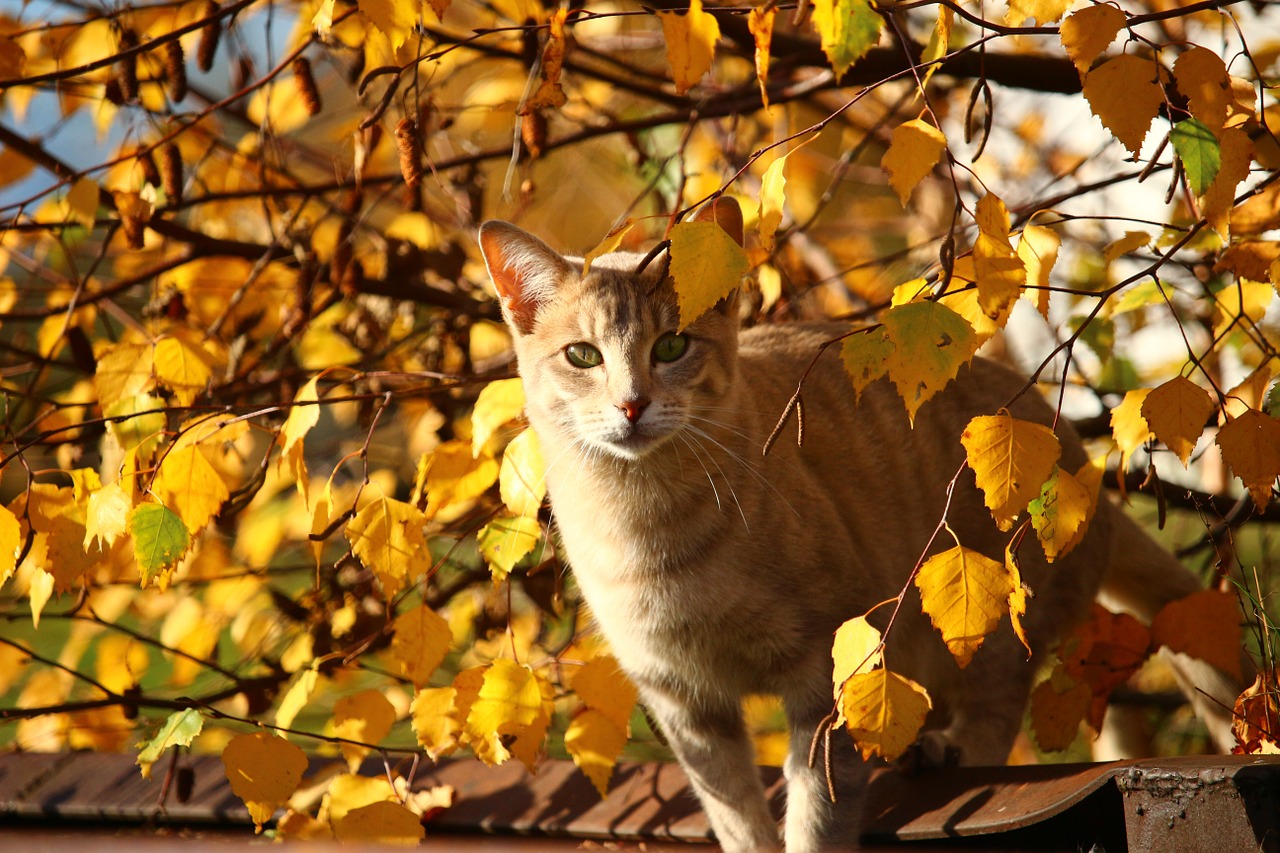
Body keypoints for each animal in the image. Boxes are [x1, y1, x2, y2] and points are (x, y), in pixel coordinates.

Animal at [476, 195, 1233, 845]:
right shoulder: (685, 708)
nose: (631, 404)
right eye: (583, 355)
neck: (648, 528)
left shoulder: (829, 671)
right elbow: (737, 818)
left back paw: (945, 749)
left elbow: (818, 811)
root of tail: (1083, 470)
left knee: (996, 705)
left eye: (670, 346)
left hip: (991, 611)